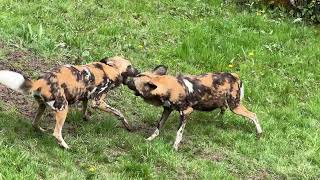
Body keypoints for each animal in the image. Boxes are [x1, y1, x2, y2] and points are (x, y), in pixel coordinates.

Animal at [0, 56, 139, 149]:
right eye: (130, 66)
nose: (138, 71)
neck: (109, 68)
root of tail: (40, 82)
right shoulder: (98, 102)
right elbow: (119, 113)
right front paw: (127, 125)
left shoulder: (85, 96)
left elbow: (84, 108)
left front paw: (85, 117)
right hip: (63, 108)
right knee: (56, 133)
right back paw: (66, 146)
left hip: (42, 106)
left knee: (35, 123)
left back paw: (42, 131)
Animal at [125, 65, 262, 150]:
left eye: (133, 82)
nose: (126, 79)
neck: (169, 87)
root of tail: (234, 75)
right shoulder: (167, 110)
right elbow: (158, 127)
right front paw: (150, 139)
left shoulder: (186, 112)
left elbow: (179, 132)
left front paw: (174, 147)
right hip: (223, 101)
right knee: (223, 109)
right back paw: (217, 119)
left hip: (235, 107)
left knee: (253, 115)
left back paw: (259, 133)